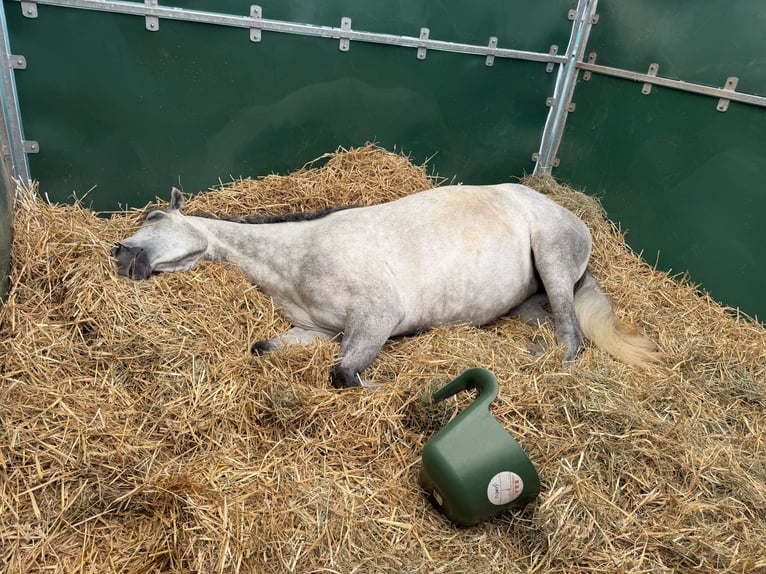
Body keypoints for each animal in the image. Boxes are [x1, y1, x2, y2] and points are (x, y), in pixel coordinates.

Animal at [112, 185, 659, 387]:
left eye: (155, 217)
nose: (120, 254)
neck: (299, 259)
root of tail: (569, 214)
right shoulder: (314, 332)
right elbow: (264, 349)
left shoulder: (377, 317)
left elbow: (343, 374)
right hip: (529, 297)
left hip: (551, 259)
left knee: (572, 336)